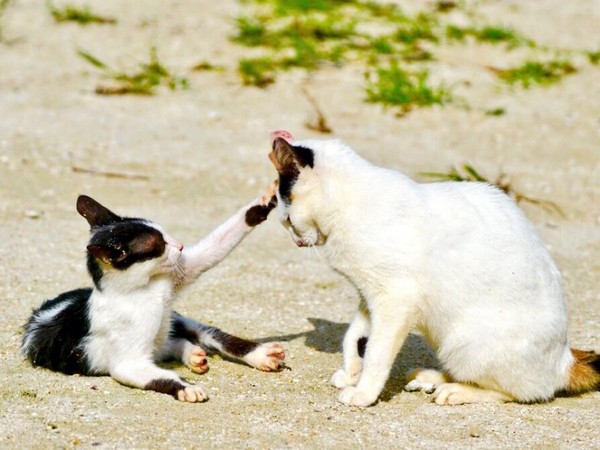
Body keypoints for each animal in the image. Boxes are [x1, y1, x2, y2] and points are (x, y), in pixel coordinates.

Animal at [22, 192, 284, 402]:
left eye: (166, 237)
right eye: (158, 245)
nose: (180, 246)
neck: (143, 290)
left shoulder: (177, 275)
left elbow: (210, 250)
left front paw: (263, 202)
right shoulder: (128, 363)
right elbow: (158, 376)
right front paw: (186, 388)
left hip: (176, 317)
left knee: (207, 334)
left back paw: (259, 355)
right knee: (169, 344)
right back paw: (193, 355)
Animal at [268, 129, 600, 408]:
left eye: (287, 219)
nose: (296, 241)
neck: (350, 204)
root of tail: (564, 360)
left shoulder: (396, 299)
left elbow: (376, 352)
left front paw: (363, 392)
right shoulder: (369, 294)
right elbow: (356, 336)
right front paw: (351, 370)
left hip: (464, 341)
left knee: (523, 392)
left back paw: (455, 391)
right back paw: (430, 378)